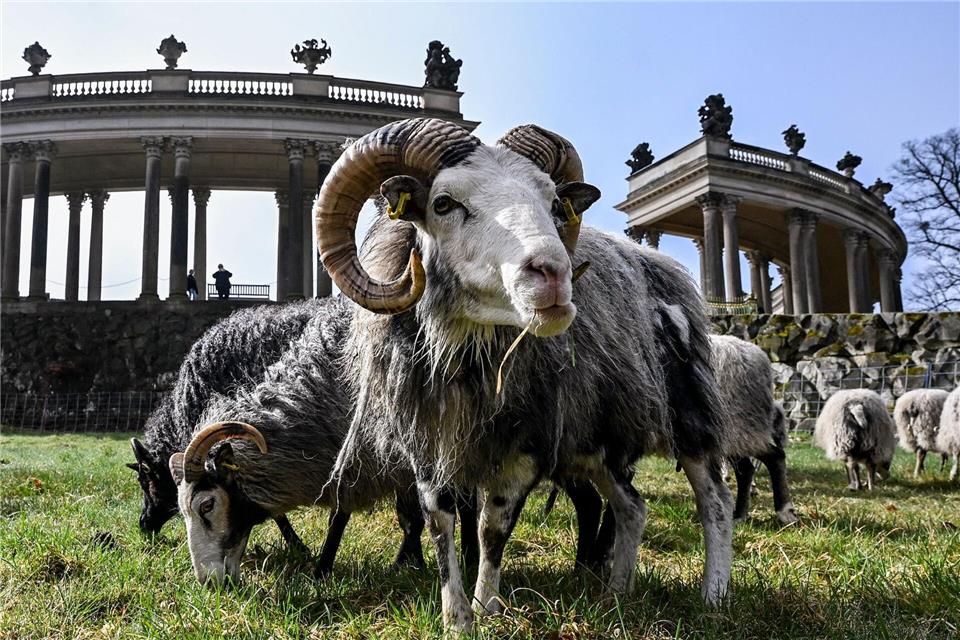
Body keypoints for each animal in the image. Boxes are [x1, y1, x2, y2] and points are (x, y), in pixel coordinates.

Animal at [167, 298, 478, 583]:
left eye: (207, 505)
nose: (209, 583)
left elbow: (347, 518)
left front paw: (323, 570)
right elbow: (396, 515)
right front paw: (408, 562)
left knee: (469, 502)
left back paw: (471, 560)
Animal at [315, 117, 731, 632]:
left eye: (554, 205)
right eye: (443, 203)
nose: (553, 274)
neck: (472, 360)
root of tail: (661, 266)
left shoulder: (529, 439)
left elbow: (492, 528)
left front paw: (487, 608)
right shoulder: (428, 439)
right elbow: (440, 524)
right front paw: (455, 618)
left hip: (688, 410)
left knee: (714, 500)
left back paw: (713, 596)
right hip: (599, 435)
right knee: (632, 506)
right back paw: (617, 592)